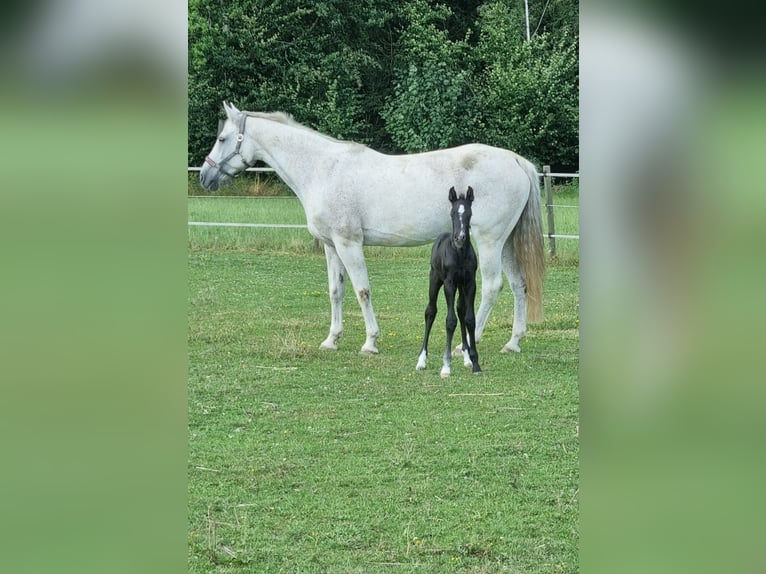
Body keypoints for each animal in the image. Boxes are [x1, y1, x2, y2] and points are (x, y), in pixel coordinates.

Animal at [198, 103, 544, 356]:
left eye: (222, 138)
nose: (204, 176)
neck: (323, 169)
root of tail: (516, 161)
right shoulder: (331, 246)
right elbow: (336, 291)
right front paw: (331, 340)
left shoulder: (349, 243)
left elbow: (362, 290)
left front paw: (370, 342)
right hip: (506, 242)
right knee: (519, 285)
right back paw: (513, 342)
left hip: (489, 240)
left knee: (492, 287)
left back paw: (466, 344)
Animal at [416, 187, 484, 380]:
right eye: (453, 213)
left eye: (469, 213)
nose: (460, 238)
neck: (459, 253)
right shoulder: (449, 283)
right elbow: (450, 320)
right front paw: (446, 367)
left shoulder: (470, 283)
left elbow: (469, 319)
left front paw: (475, 363)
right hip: (434, 279)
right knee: (430, 311)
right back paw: (421, 361)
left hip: (461, 287)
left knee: (461, 309)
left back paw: (467, 358)